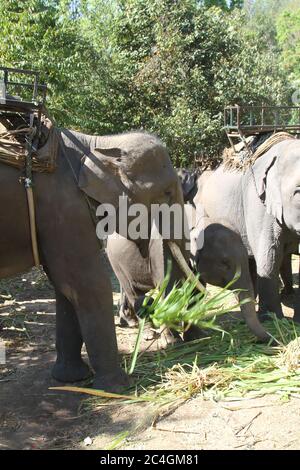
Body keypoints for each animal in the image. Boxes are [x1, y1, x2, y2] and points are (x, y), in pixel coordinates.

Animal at [0, 127, 192, 390]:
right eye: (167, 192)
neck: (96, 144)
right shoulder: (65, 207)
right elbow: (89, 285)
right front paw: (119, 387)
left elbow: (66, 289)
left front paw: (71, 378)